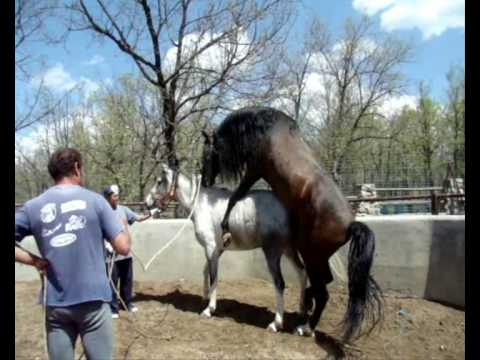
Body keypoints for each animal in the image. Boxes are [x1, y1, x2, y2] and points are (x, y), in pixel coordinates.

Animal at [200, 106, 382, 344]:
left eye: (206, 154)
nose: (204, 182)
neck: (265, 129)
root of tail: (351, 225)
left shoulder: (254, 170)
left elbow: (235, 197)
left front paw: (226, 228)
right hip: (317, 258)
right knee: (323, 283)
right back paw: (305, 311)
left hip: (311, 255)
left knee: (322, 291)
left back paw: (305, 326)